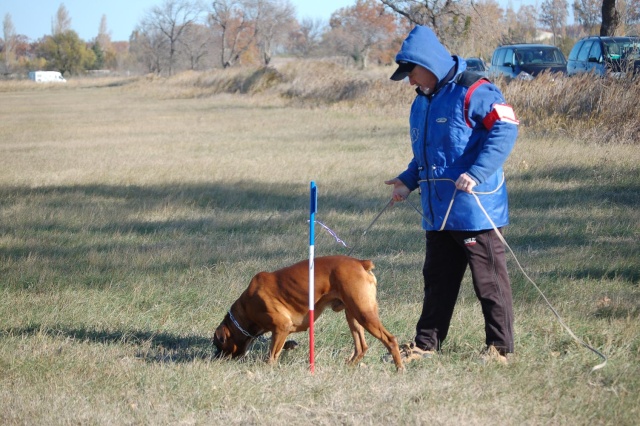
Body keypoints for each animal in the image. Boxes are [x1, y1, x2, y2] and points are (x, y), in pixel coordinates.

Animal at [212, 256, 402, 370]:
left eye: (218, 345)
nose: (215, 358)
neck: (246, 308)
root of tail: (361, 263)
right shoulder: (280, 332)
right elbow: (279, 346)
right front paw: (290, 347)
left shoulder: (281, 327)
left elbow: (272, 354)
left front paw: (267, 368)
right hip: (353, 315)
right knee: (361, 346)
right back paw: (349, 365)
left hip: (364, 313)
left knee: (390, 340)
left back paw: (399, 368)